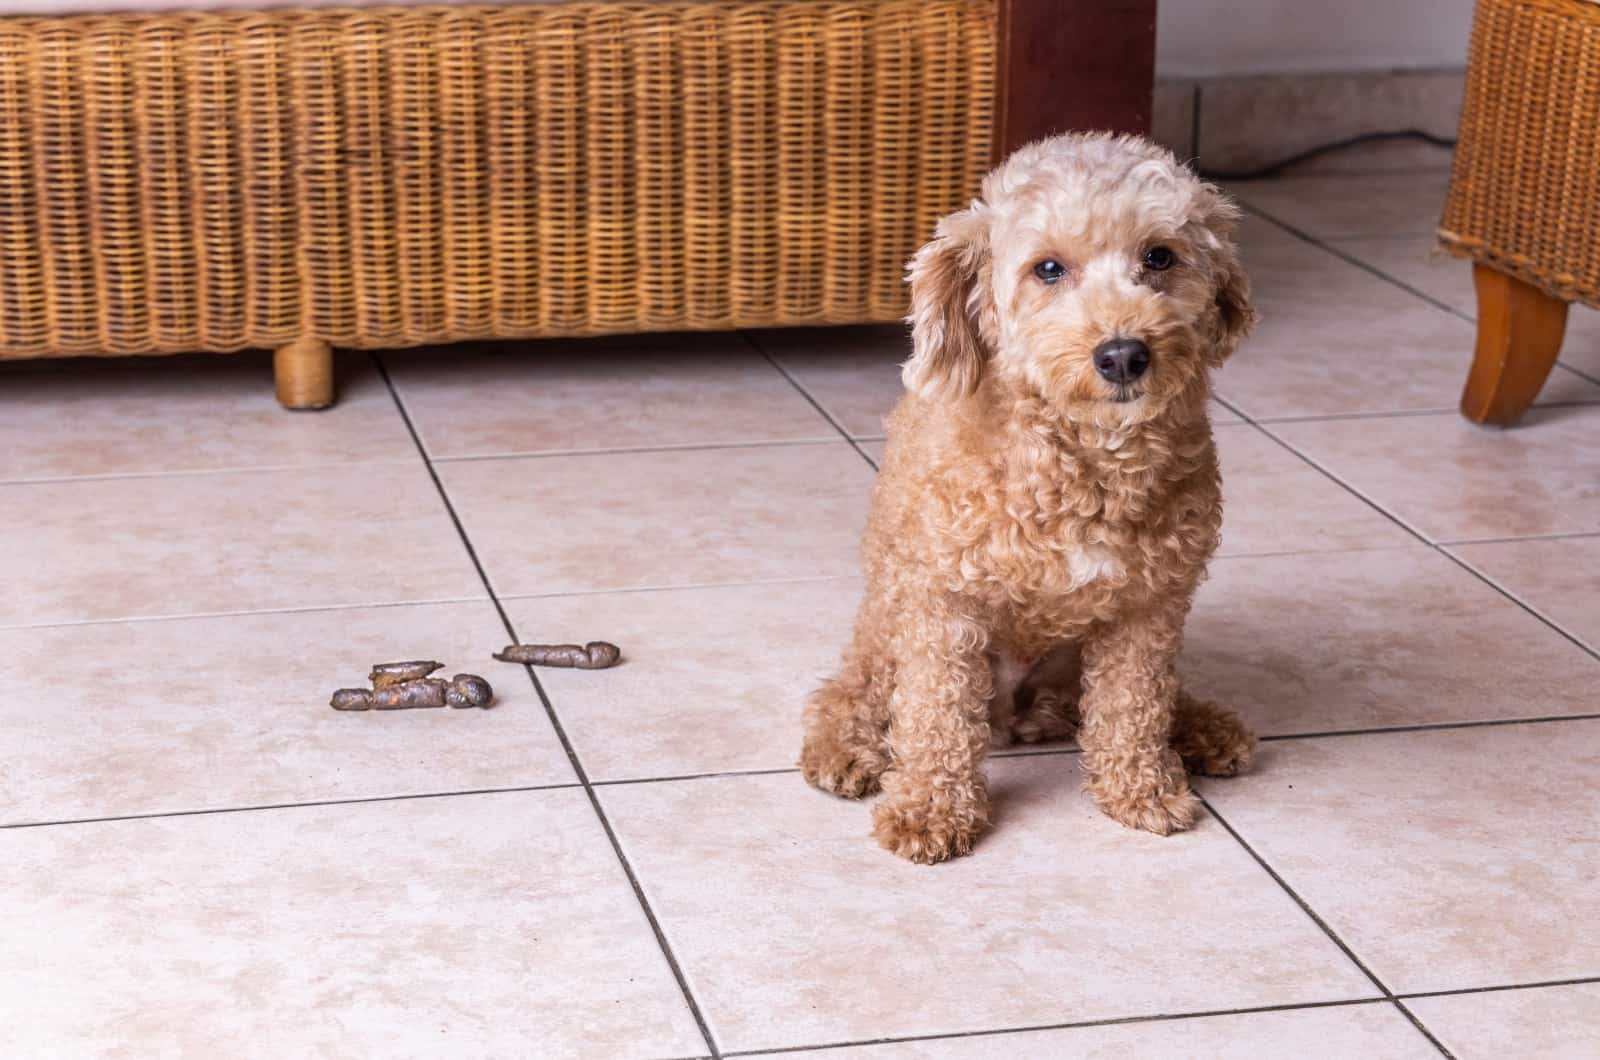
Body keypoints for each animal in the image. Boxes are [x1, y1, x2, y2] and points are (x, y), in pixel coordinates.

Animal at [800, 130, 1260, 864]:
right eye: (1048, 269)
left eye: (1159, 256)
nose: (1123, 353)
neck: (1083, 462)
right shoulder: (943, 605)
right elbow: (936, 716)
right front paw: (929, 809)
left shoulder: (1150, 609)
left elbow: (1134, 706)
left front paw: (1142, 789)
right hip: (886, 624)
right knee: (855, 694)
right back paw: (846, 750)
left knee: (1151, 699)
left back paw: (1201, 729)